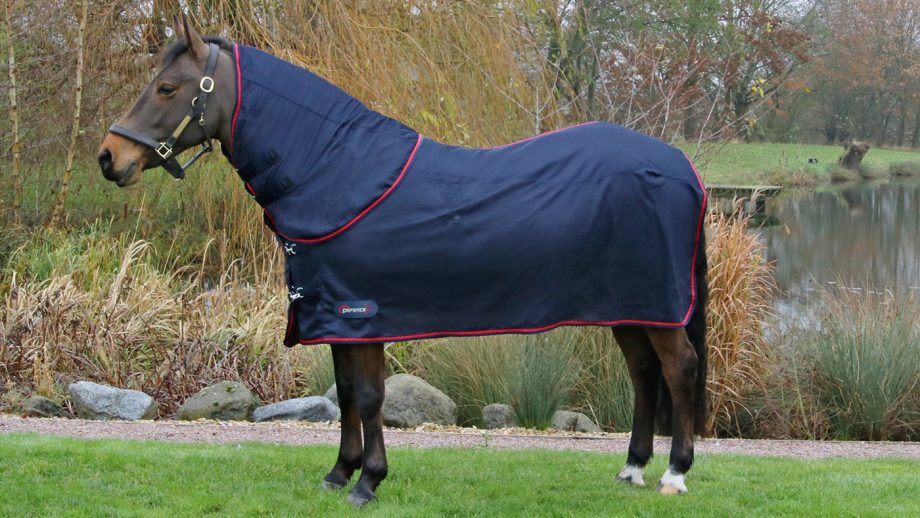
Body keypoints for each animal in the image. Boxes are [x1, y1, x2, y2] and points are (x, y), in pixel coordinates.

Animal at [98, 15, 708, 506]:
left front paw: (369, 481)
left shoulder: (362, 314)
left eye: (167, 87)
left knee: (679, 368)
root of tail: (682, 165)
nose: (109, 157)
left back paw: (674, 475)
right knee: (644, 373)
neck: (338, 171)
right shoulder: (335, 316)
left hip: (657, 306)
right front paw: (338, 473)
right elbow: (345, 393)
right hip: (630, 306)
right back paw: (631, 469)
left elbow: (370, 396)